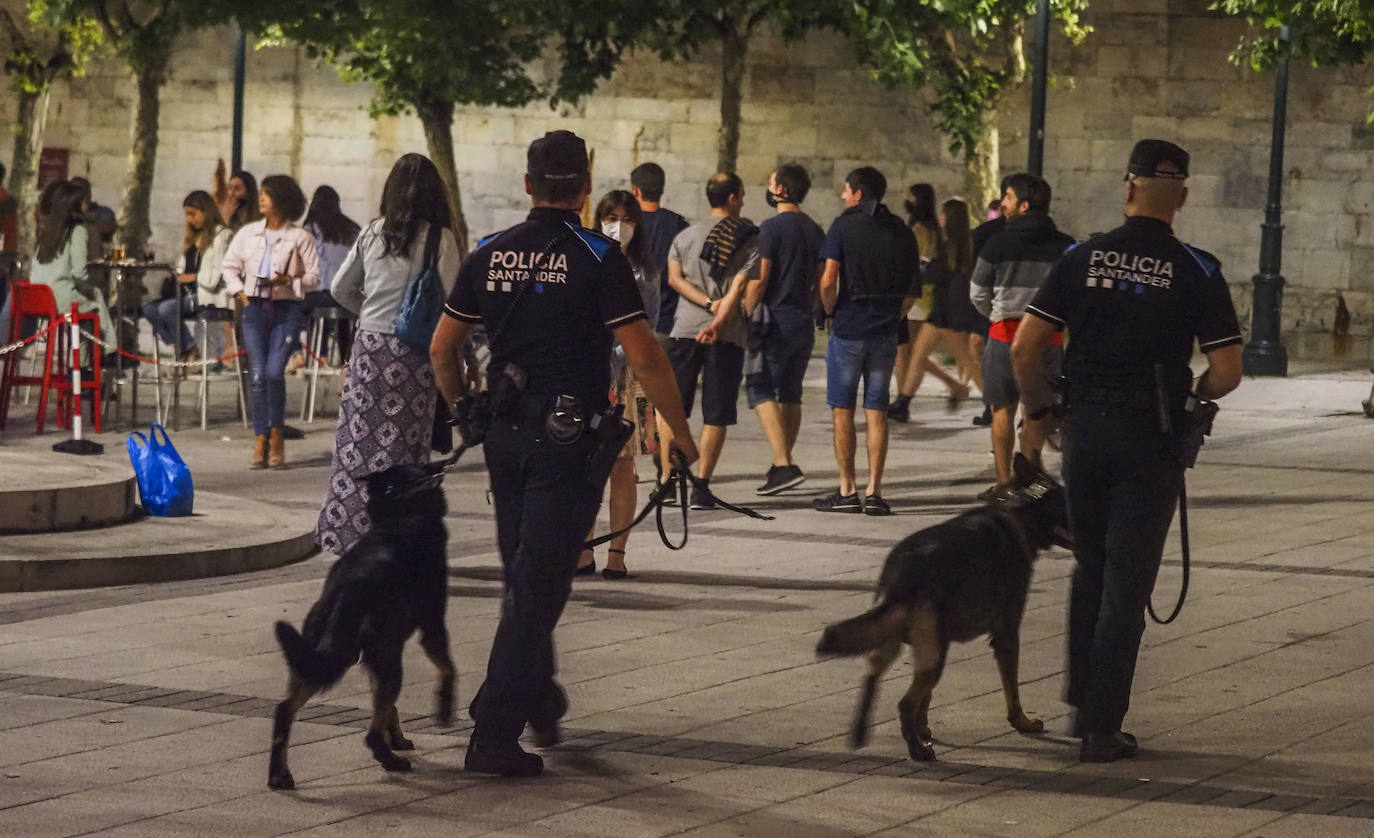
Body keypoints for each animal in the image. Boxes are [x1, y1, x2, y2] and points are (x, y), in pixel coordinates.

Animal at [266, 458, 456, 785]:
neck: (406, 510)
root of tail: (347, 589)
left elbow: (388, 709)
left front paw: (397, 737)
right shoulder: (432, 625)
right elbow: (447, 669)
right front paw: (444, 706)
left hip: (322, 656)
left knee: (284, 709)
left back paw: (279, 774)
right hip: (384, 660)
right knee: (370, 735)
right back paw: (390, 760)